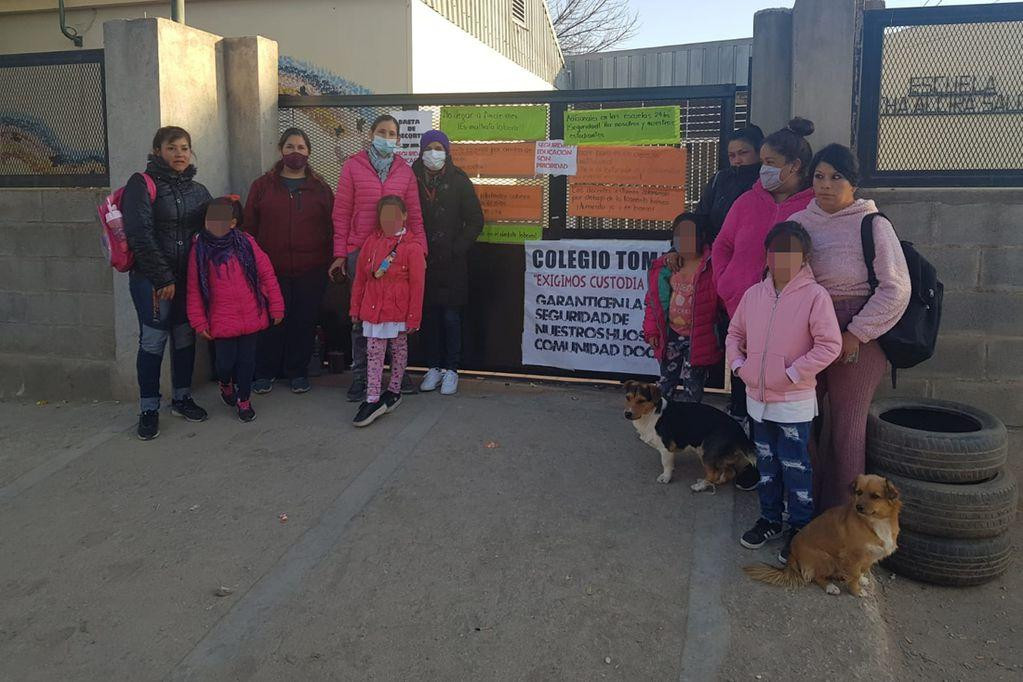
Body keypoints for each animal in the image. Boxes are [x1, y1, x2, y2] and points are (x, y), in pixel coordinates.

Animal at [744, 474, 904, 597]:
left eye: (875, 496)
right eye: (859, 492)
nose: (858, 507)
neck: (876, 522)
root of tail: (792, 554)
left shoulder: (869, 555)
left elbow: (862, 570)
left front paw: (862, 579)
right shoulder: (853, 555)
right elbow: (854, 575)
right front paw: (856, 591)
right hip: (826, 558)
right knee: (816, 576)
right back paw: (830, 587)